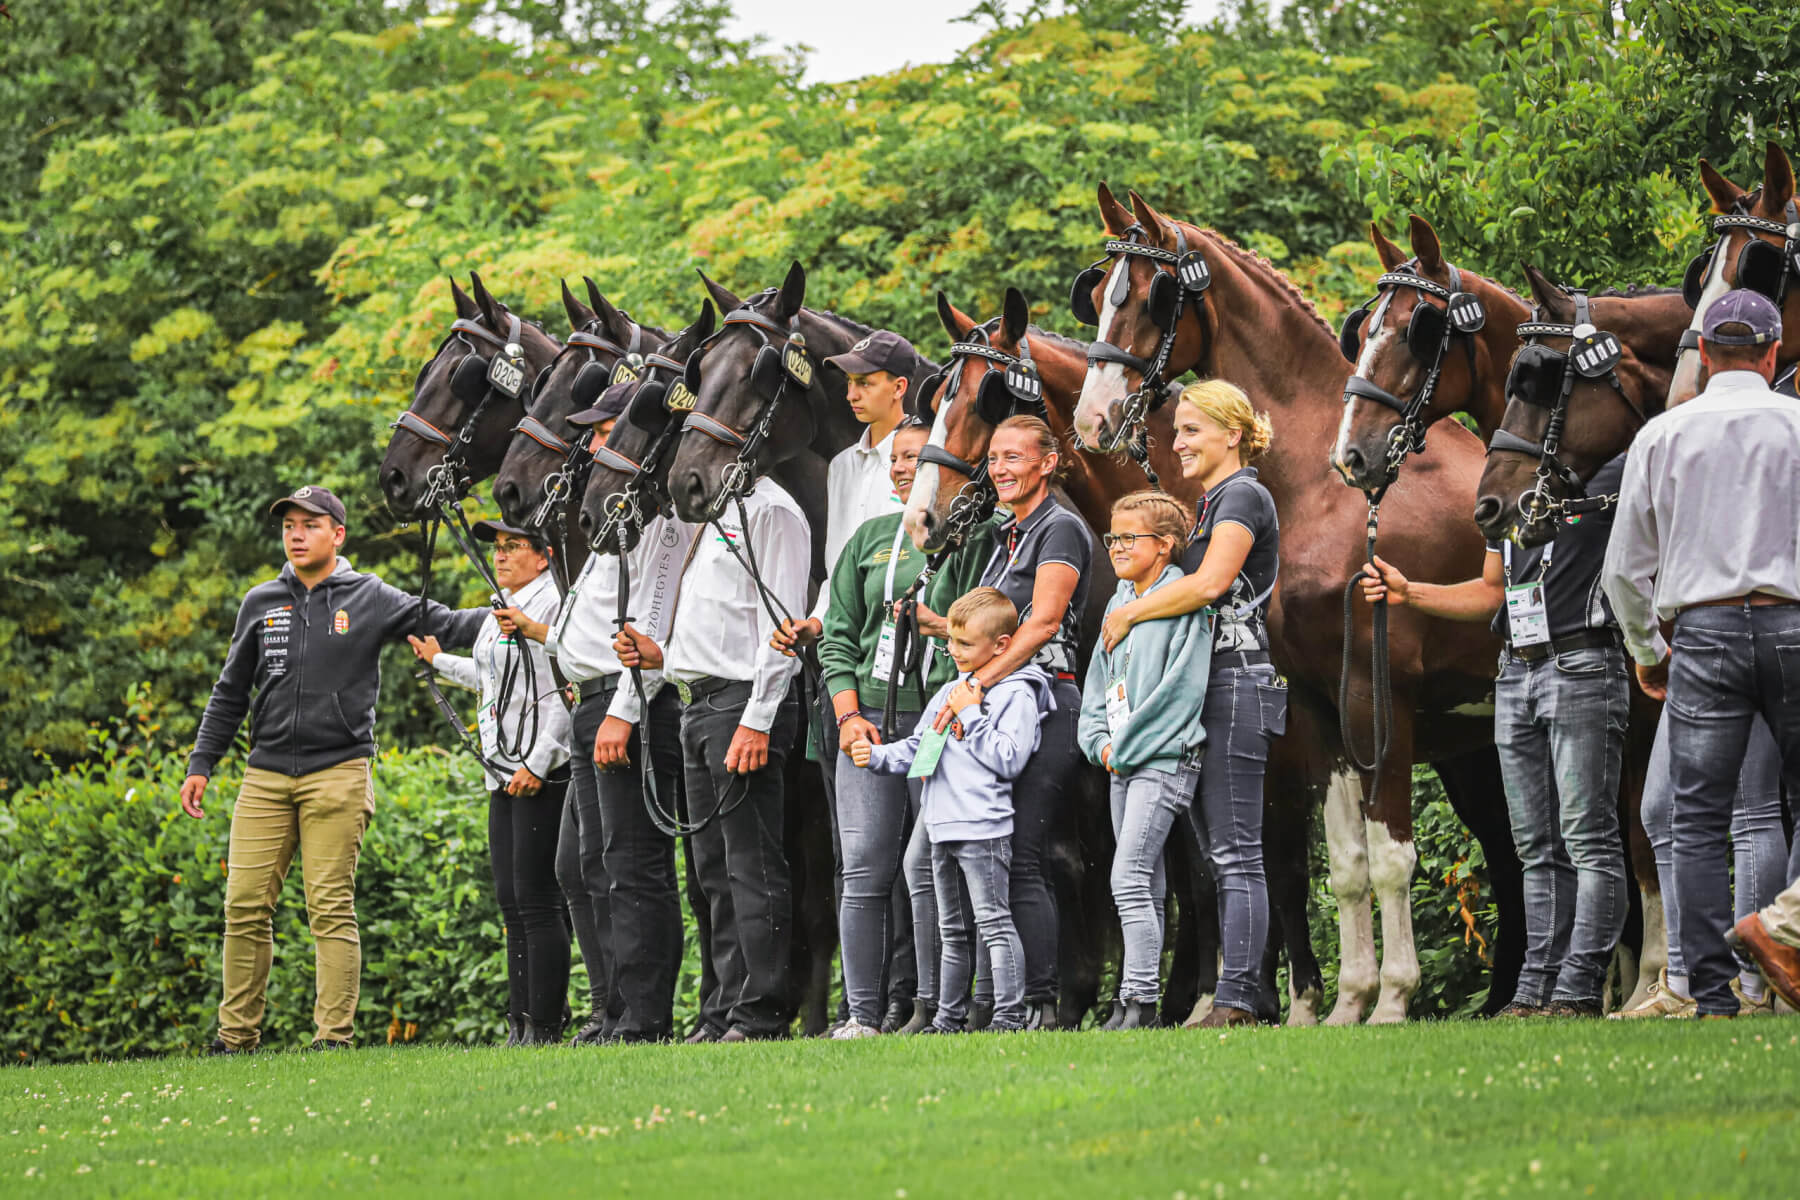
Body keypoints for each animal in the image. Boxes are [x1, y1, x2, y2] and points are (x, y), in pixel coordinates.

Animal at [904, 286, 1305, 1025]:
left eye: (987, 399)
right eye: (938, 393)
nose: (922, 519)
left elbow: (1146, 866)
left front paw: (1094, 994)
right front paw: (1071, 994)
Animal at [1069, 184, 1523, 1024]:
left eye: (1152, 297)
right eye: (1100, 295)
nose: (1093, 417)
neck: (1320, 489)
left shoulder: (1377, 698)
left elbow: (1389, 856)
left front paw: (1392, 997)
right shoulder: (1319, 706)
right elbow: (1344, 863)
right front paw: (1348, 1002)